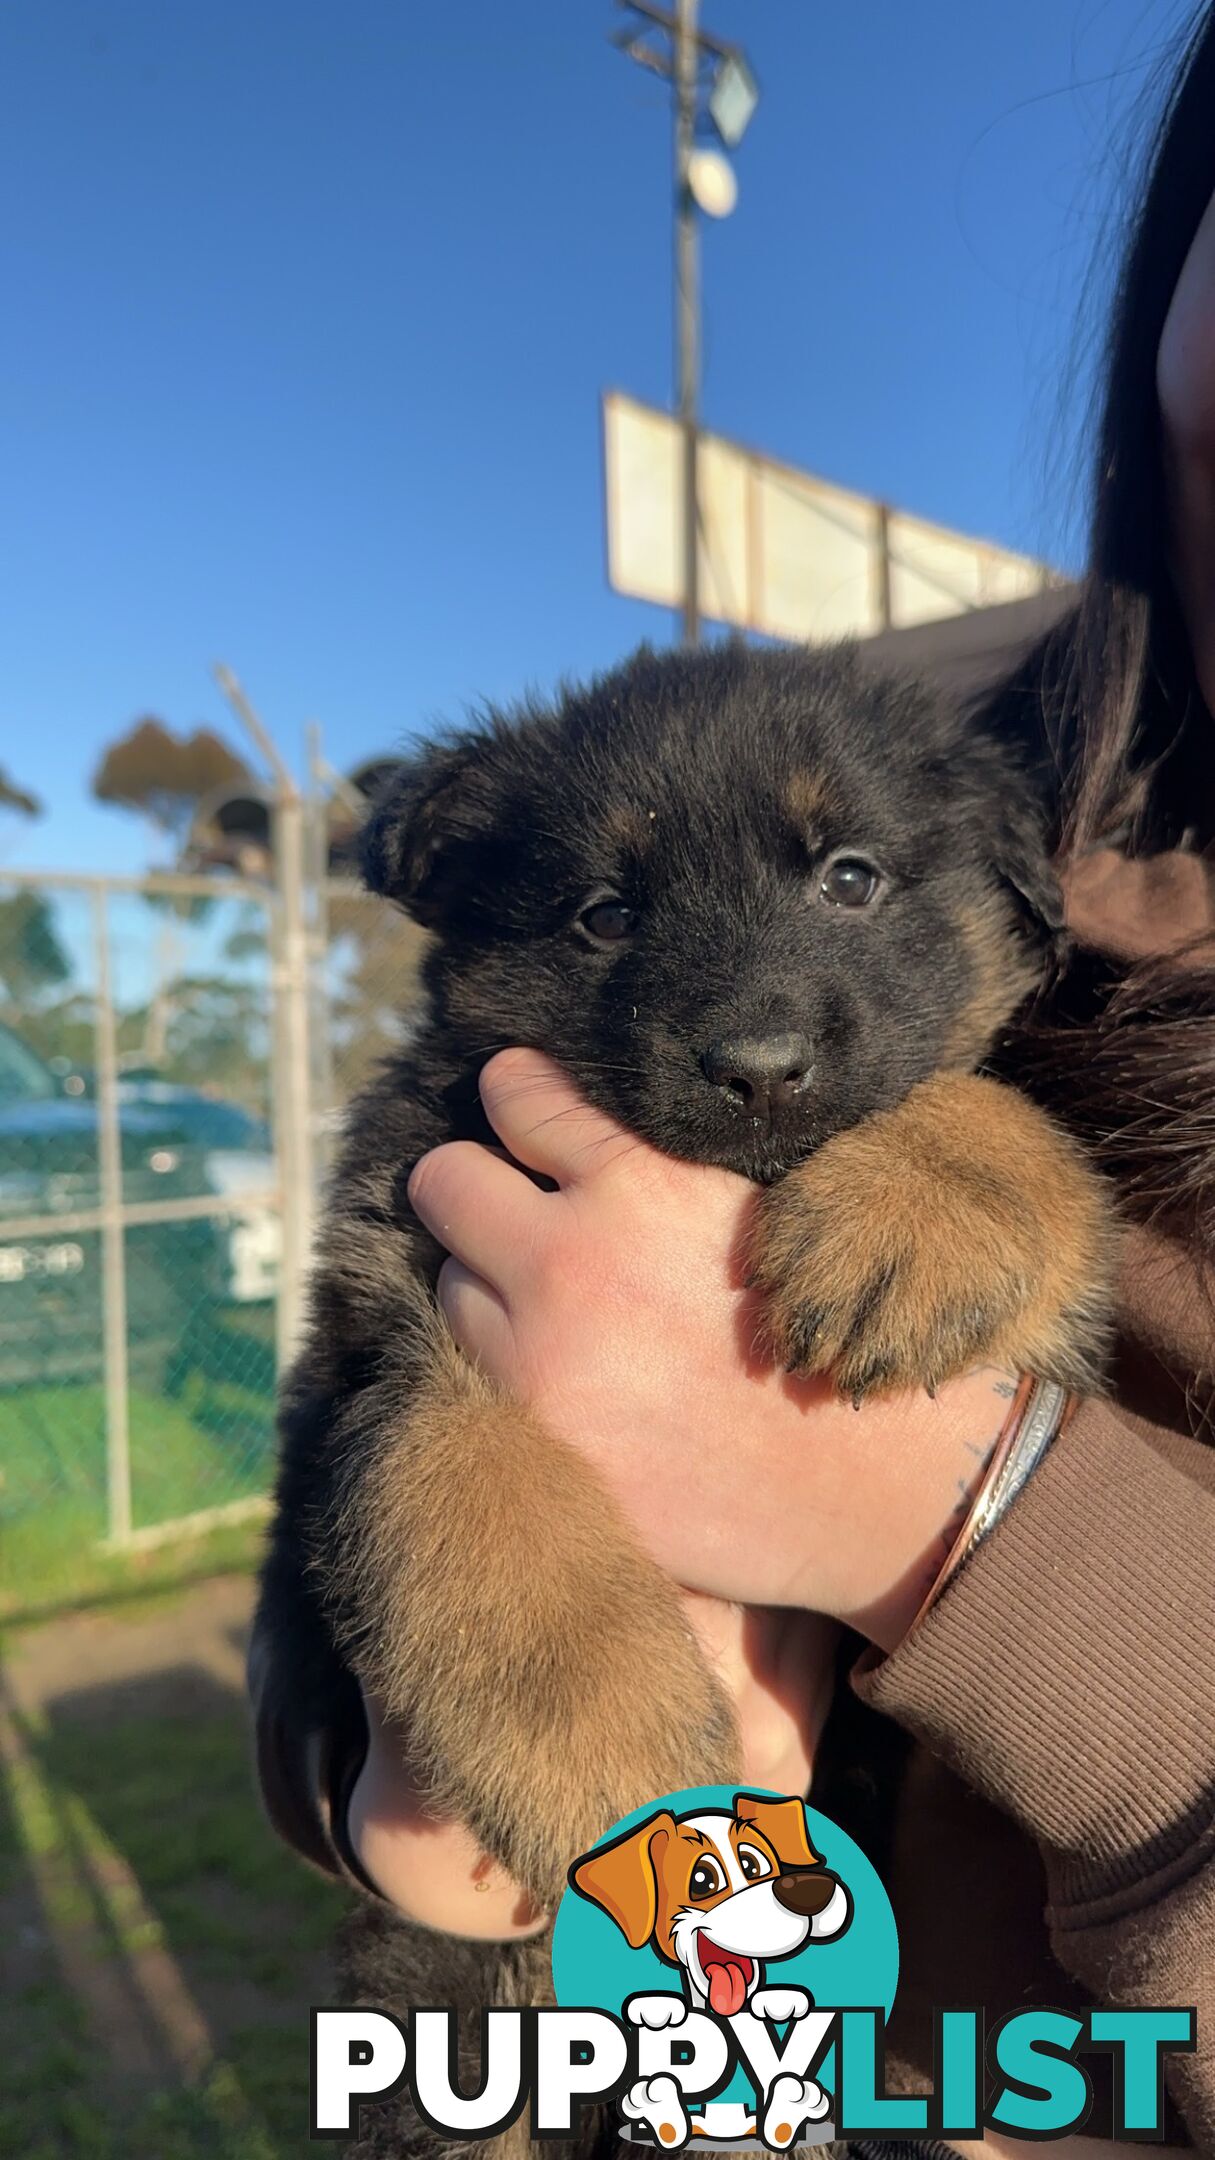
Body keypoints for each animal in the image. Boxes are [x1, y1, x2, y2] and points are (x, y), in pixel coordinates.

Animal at [255, 630, 1106, 2134]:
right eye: (603, 915)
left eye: (849, 877)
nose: (758, 1073)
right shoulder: (384, 1340)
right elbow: (474, 1497)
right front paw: (616, 1762)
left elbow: (998, 1105)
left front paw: (919, 1207)